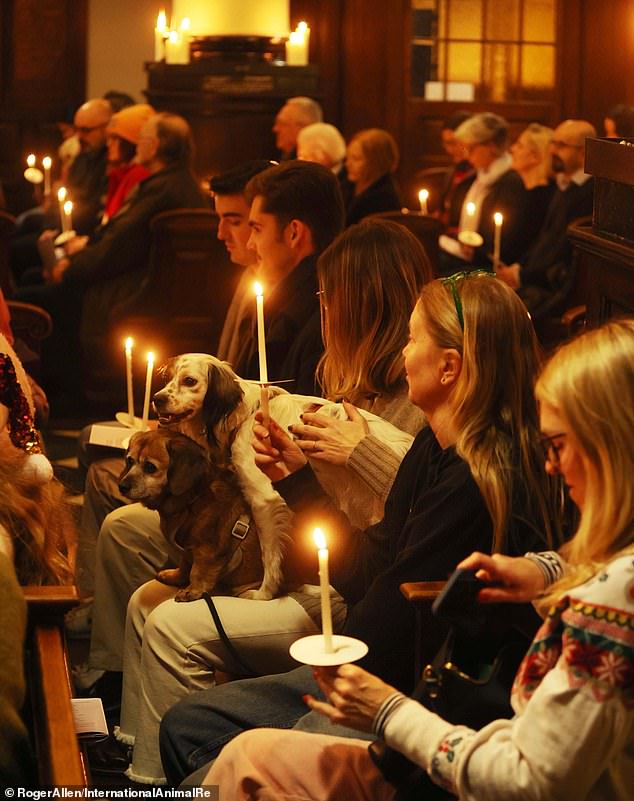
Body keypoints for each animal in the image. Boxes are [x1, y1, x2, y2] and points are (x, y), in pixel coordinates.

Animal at [118, 428, 262, 596]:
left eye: (150, 467)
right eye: (129, 461)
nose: (121, 486)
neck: (192, 500)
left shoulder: (208, 551)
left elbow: (198, 572)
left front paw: (193, 591)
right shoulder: (187, 552)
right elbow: (185, 565)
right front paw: (175, 577)